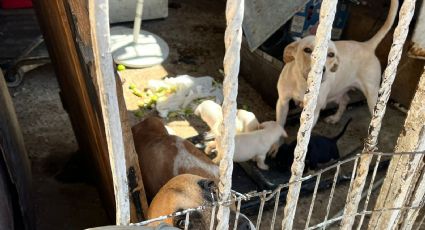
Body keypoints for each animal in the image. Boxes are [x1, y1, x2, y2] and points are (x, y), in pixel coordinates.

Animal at [274, 0, 398, 129]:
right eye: (307, 50)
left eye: (331, 54)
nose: (321, 71)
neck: (303, 84)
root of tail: (367, 45)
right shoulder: (282, 102)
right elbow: (279, 126)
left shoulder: (313, 113)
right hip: (340, 89)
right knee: (345, 100)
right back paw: (335, 118)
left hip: (372, 95)